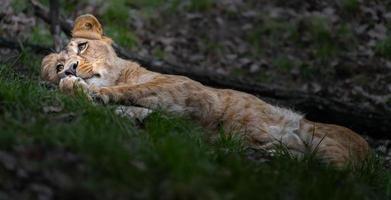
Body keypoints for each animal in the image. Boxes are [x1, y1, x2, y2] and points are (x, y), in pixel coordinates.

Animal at [43, 14, 370, 167]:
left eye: (82, 46)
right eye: (58, 66)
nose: (70, 69)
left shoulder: (192, 91)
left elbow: (138, 88)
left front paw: (93, 91)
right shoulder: (153, 115)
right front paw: (74, 88)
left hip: (320, 138)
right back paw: (267, 152)